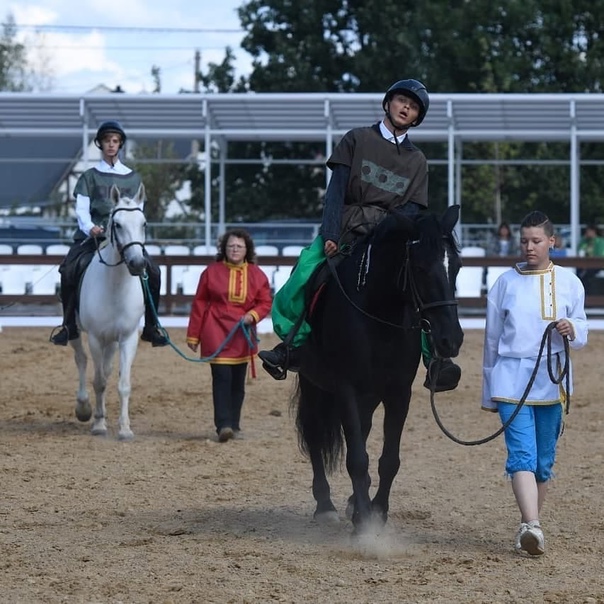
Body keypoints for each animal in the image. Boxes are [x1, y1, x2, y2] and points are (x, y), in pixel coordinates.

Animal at [70, 184, 149, 438]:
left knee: (106, 367)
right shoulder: (95, 338)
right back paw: (84, 407)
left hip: (112, 340)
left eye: (144, 223)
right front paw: (98, 424)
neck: (115, 287)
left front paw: (124, 429)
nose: (137, 264)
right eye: (118, 224)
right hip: (75, 331)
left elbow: (123, 384)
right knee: (82, 360)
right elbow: (99, 381)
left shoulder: (128, 338)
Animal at [292, 206, 462, 532]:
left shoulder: (398, 392)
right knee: (316, 433)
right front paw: (363, 522)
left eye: (457, 267)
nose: (451, 339)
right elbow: (357, 458)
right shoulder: (345, 388)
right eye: (420, 268)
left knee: (363, 429)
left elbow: (389, 459)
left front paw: (377, 512)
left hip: (369, 395)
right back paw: (325, 505)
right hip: (313, 383)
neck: (379, 314)